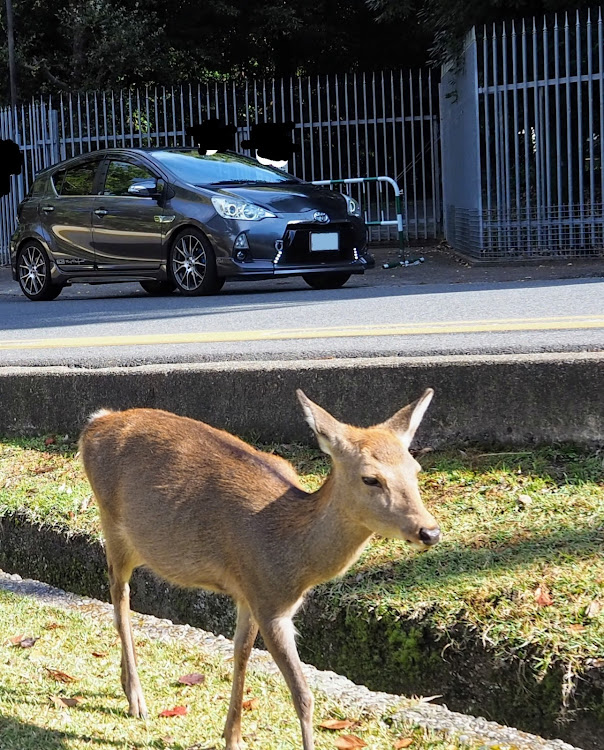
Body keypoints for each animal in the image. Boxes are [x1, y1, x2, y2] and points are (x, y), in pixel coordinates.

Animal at [78, 388, 442, 750]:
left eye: (415, 469)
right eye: (370, 478)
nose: (429, 531)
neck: (293, 556)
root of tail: (95, 423)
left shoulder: (248, 590)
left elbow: (241, 654)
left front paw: (232, 735)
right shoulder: (269, 602)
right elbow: (303, 695)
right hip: (113, 524)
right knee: (120, 597)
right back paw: (136, 699)